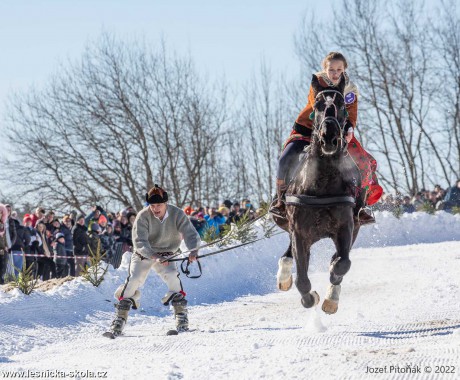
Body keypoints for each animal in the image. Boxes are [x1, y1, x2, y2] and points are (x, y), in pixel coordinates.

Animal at [272, 75, 362, 314]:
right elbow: (302, 279)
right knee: (289, 255)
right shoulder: (300, 232)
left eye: (341, 105)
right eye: (317, 106)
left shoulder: (346, 227)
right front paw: (309, 297)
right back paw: (284, 275)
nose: (329, 137)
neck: (322, 184)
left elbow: (342, 263)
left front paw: (331, 295)